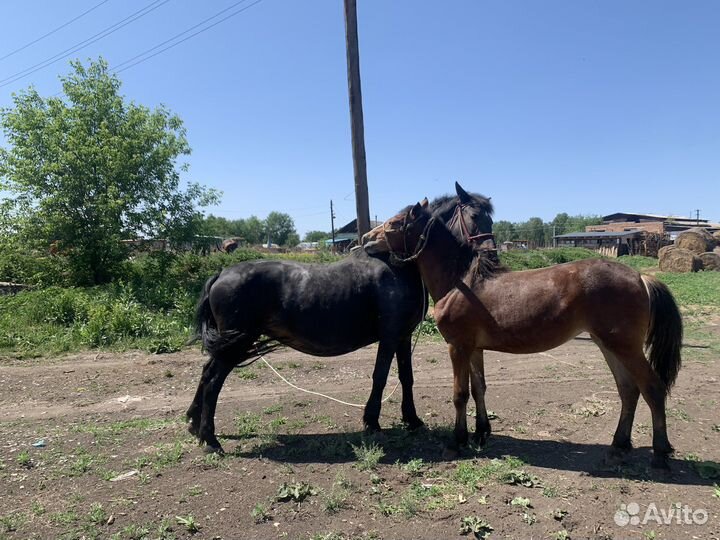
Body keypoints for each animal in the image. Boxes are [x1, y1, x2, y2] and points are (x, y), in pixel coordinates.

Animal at [187, 183, 494, 453]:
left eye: (491, 219)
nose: (492, 256)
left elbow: (406, 377)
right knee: (213, 380)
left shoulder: (403, 336)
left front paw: (412, 420)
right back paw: (210, 440)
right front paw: (371, 421)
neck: (396, 267)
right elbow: (380, 376)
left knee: (205, 372)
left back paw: (193, 423)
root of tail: (221, 274)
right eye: (474, 217)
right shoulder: (390, 335)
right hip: (236, 344)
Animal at [368, 200, 683, 469]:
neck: (462, 282)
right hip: (608, 345)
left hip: (624, 347)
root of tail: (641, 277)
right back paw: (618, 448)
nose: (367, 240)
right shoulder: (475, 349)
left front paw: (456, 442)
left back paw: (660, 454)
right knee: (628, 390)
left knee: (652, 388)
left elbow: (459, 394)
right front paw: (480, 433)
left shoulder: (457, 347)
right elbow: (478, 388)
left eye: (395, 223)